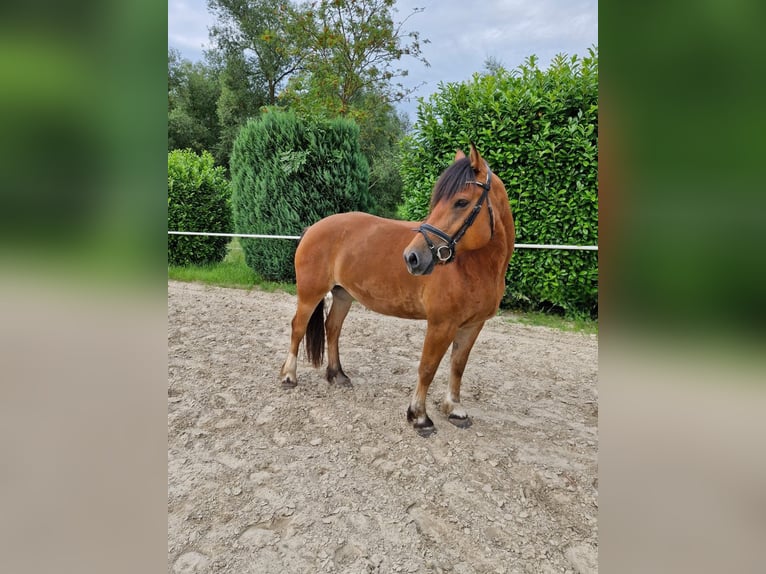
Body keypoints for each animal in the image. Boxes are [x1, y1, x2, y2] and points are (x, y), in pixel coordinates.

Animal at [279, 144, 515, 436]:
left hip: (343, 295)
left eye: (461, 202)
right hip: (310, 294)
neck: (474, 266)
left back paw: (338, 376)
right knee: (298, 328)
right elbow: (427, 367)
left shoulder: (473, 325)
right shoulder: (441, 324)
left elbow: (458, 366)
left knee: (332, 328)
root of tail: (314, 227)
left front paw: (455, 410)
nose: (412, 257)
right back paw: (289, 377)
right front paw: (419, 417)